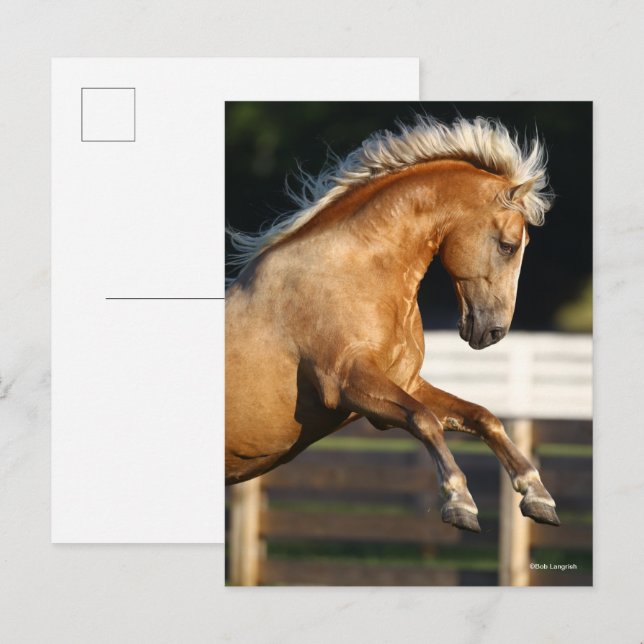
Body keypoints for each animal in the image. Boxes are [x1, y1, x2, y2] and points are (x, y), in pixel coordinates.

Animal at [225, 116, 559, 533]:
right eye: (508, 246)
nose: (494, 331)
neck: (354, 274)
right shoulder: (346, 382)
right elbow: (425, 420)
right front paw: (459, 502)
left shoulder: (405, 382)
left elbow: (483, 417)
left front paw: (538, 495)